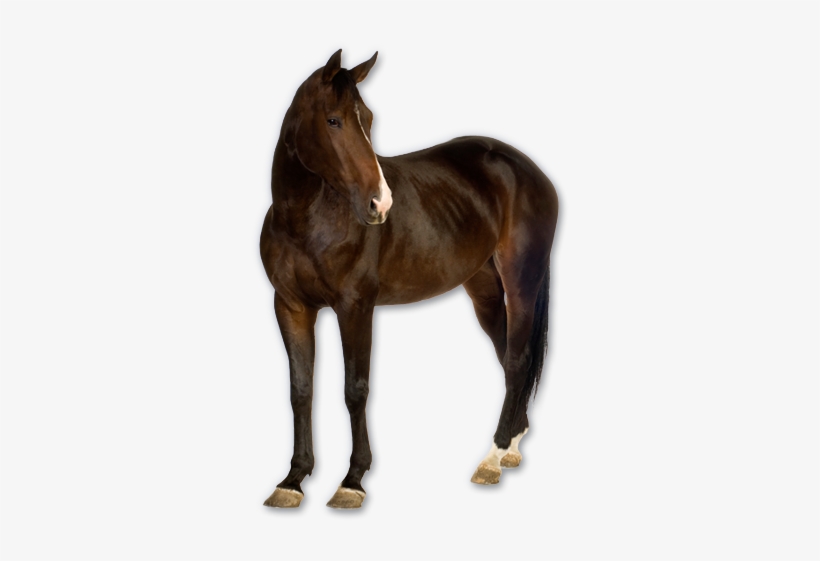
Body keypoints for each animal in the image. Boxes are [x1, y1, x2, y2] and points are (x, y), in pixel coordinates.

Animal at [260, 50, 559, 509]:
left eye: (367, 118)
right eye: (333, 120)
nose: (380, 204)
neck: (306, 220)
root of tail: (527, 168)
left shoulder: (355, 307)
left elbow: (355, 389)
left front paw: (352, 480)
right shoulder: (290, 306)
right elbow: (301, 390)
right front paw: (292, 480)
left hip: (521, 277)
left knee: (517, 360)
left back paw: (491, 458)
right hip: (484, 288)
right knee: (508, 354)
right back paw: (511, 445)